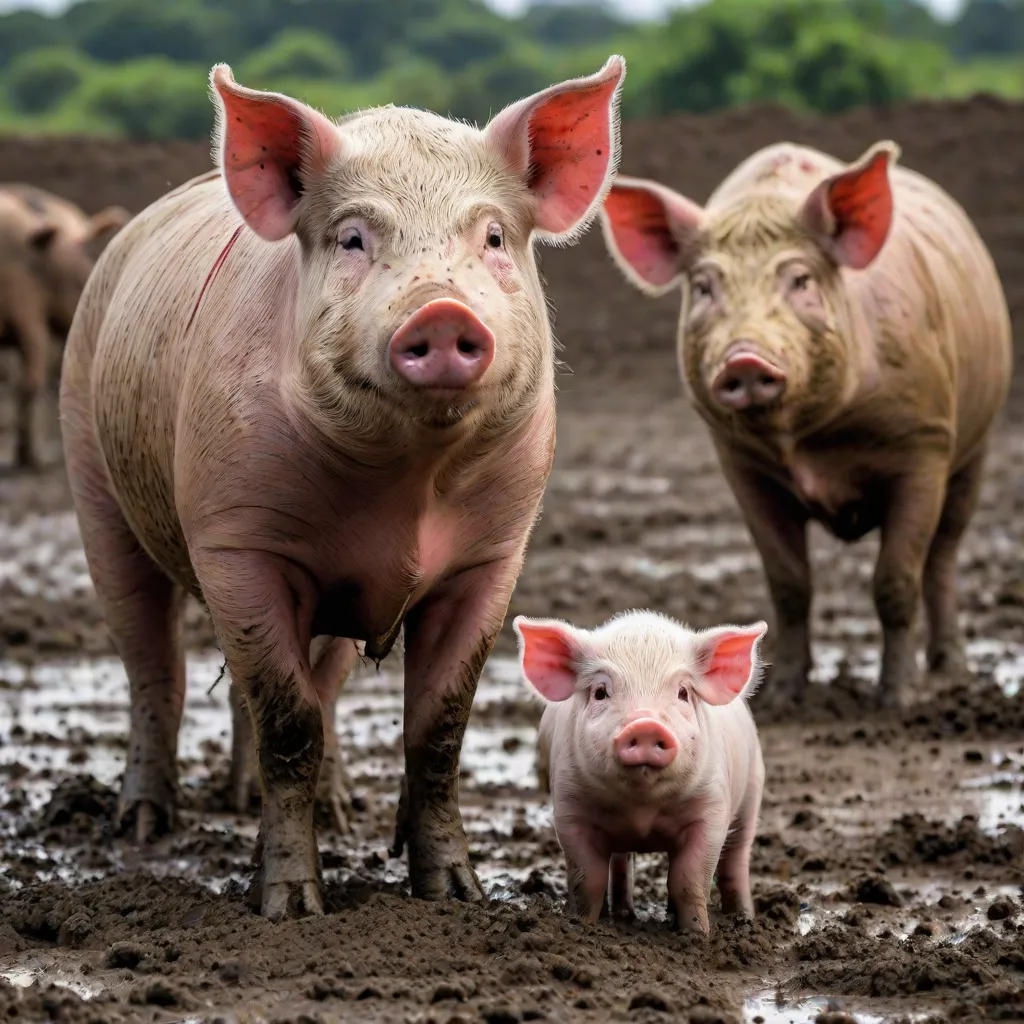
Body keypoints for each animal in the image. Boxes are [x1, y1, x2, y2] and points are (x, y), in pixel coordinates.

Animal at [59, 58, 625, 920]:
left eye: (493, 236)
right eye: (354, 237)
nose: (442, 311)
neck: (408, 488)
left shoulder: (493, 556)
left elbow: (438, 730)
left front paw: (456, 896)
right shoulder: (235, 540)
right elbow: (286, 722)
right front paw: (292, 907)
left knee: (309, 688)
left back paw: (323, 810)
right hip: (95, 486)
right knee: (154, 665)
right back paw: (145, 826)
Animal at [514, 611, 767, 934]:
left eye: (683, 692)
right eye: (600, 692)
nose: (646, 725)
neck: (642, 811)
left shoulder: (711, 809)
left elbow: (688, 880)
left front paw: (696, 934)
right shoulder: (570, 808)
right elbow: (588, 879)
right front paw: (582, 925)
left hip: (752, 791)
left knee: (736, 861)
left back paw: (744, 918)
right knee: (622, 863)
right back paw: (624, 914)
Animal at [599, 142, 1012, 707]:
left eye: (800, 280)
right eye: (704, 287)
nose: (744, 359)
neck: (805, 442)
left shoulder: (923, 444)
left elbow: (896, 580)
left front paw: (896, 700)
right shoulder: (742, 466)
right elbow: (789, 582)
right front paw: (781, 697)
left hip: (976, 446)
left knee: (943, 556)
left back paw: (950, 674)